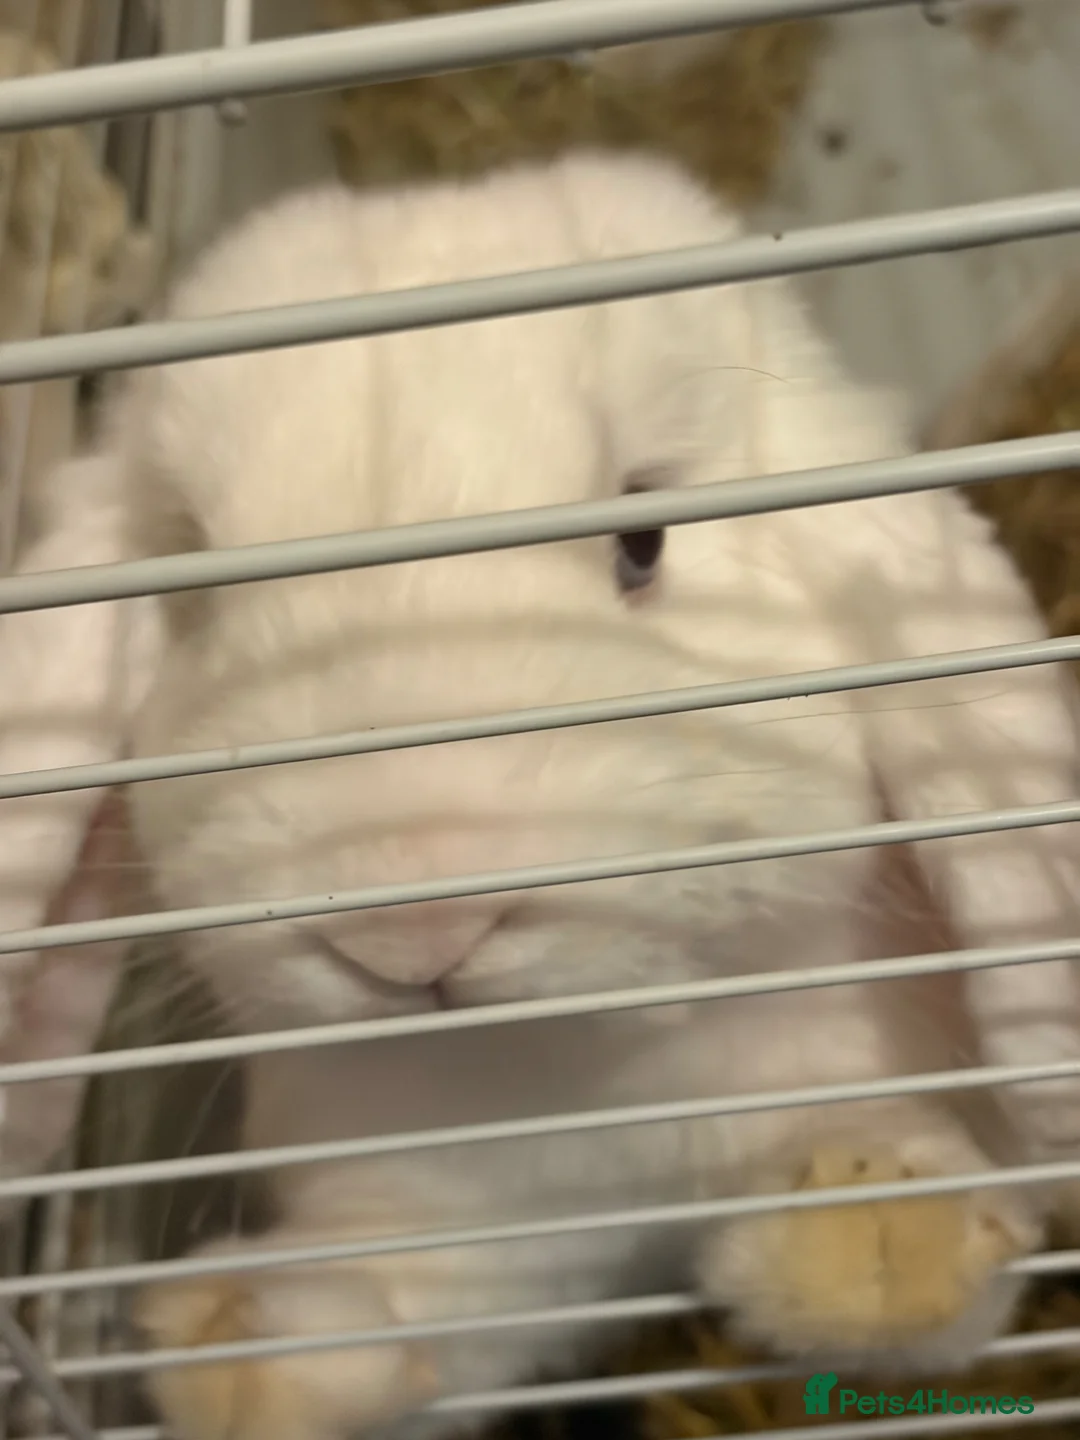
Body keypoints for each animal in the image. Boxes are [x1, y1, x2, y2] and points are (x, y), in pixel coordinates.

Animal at [3, 150, 1079, 1440]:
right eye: (197, 601)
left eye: (645, 544)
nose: (415, 930)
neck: (592, 1080)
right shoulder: (472, 1243)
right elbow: (412, 1323)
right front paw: (236, 1350)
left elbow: (920, 1287)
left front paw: (874, 1225)